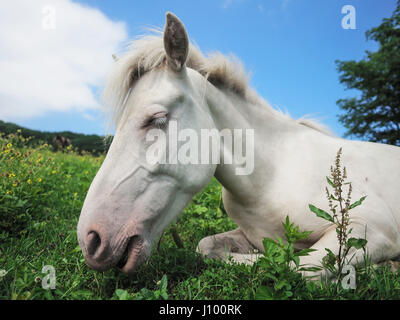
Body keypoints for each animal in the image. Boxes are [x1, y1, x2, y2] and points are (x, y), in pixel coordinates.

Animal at [76, 12, 398, 278]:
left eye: (157, 118)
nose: (92, 239)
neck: (272, 176)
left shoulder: (367, 228)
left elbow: (296, 265)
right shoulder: (248, 235)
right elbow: (208, 248)